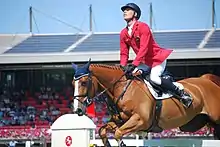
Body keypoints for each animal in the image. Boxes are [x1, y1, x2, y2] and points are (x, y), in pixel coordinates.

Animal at [73, 61, 220, 147]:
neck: (121, 89)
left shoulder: (140, 120)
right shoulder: (120, 121)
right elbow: (102, 130)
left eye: (84, 83)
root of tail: (208, 80)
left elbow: (118, 133)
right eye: (73, 84)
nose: (77, 110)